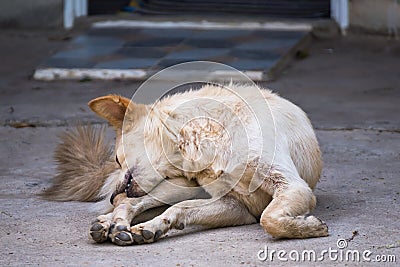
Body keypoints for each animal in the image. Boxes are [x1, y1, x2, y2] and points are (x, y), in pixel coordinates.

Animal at [42, 82, 328, 246]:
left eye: (116, 158)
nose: (110, 195)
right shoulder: (237, 204)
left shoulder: (284, 190)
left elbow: (269, 219)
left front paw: (308, 227)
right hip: (176, 186)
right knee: (131, 202)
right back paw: (115, 224)